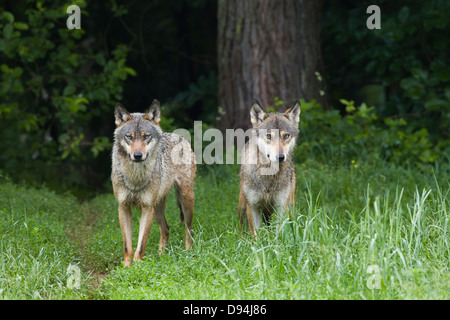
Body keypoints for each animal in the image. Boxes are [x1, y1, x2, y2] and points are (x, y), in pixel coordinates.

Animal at [110, 99, 195, 264]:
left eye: (146, 136)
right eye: (129, 137)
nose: (137, 155)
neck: (135, 177)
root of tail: (178, 136)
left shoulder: (146, 208)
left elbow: (141, 245)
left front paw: (138, 266)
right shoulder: (123, 207)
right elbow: (127, 246)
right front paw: (126, 267)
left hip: (185, 200)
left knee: (189, 230)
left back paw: (189, 255)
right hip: (158, 208)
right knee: (166, 228)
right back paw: (161, 257)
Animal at [237, 100, 300, 238]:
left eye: (286, 136)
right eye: (269, 136)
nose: (280, 157)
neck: (268, 177)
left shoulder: (281, 206)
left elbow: (278, 234)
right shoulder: (253, 206)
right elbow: (256, 236)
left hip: (290, 205)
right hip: (242, 206)